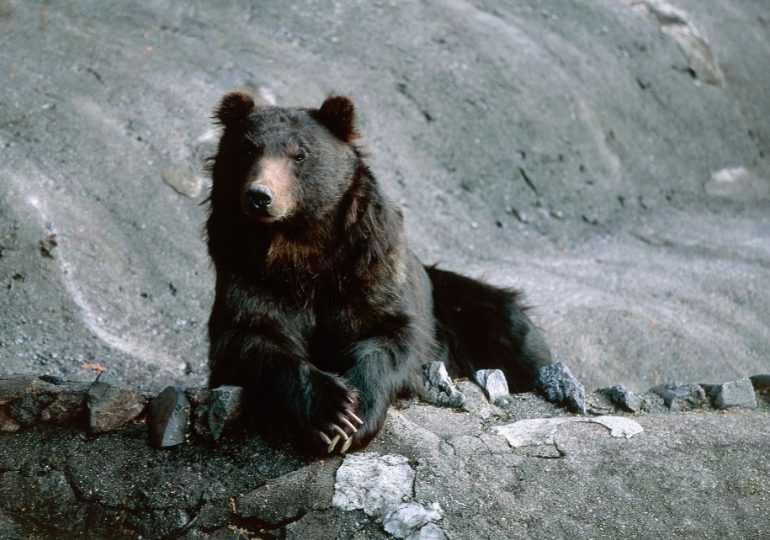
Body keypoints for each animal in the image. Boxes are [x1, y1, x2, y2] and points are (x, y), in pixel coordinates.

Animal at [206, 92, 562, 455]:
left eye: (299, 155)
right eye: (247, 148)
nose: (259, 195)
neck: (299, 245)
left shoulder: (369, 267)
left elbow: (391, 335)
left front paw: (355, 416)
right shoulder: (247, 271)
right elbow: (251, 336)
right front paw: (331, 412)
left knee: (512, 334)